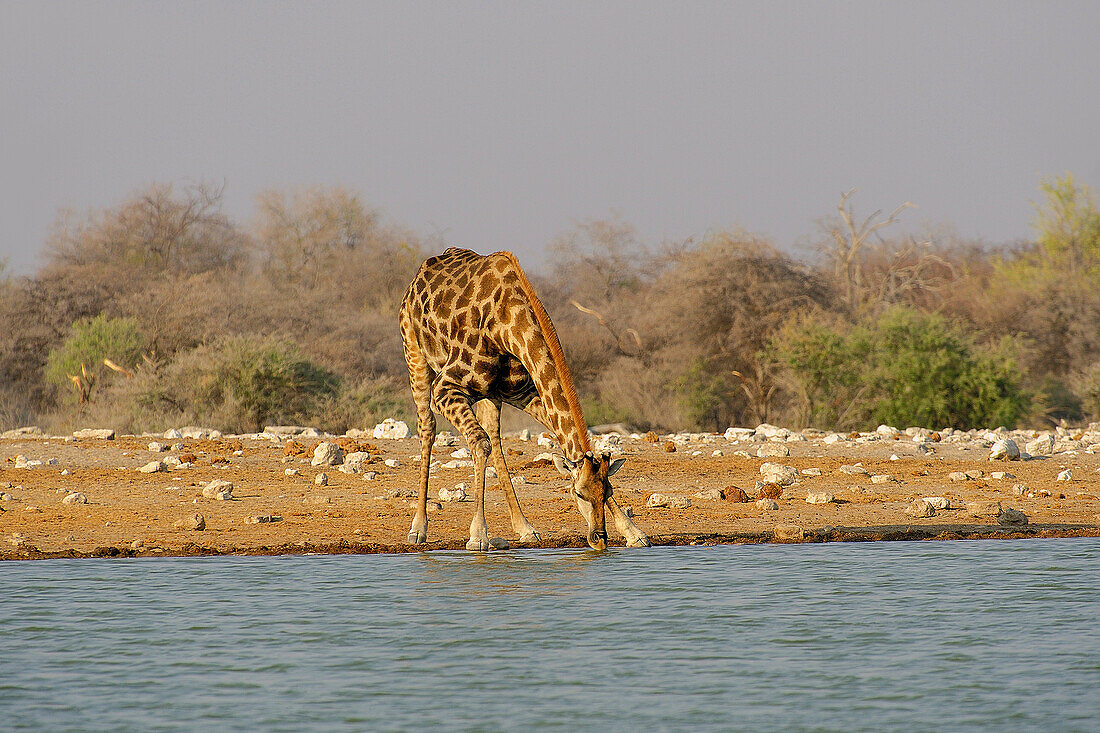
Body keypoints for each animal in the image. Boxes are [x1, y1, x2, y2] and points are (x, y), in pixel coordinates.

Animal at [398, 245, 646, 548]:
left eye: (608, 492)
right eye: (578, 493)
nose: (599, 540)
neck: (506, 325)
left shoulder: (522, 392)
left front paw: (633, 532)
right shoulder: (445, 387)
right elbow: (479, 444)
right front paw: (478, 536)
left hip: (490, 395)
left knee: (494, 437)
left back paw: (525, 527)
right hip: (415, 356)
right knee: (429, 428)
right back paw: (418, 528)